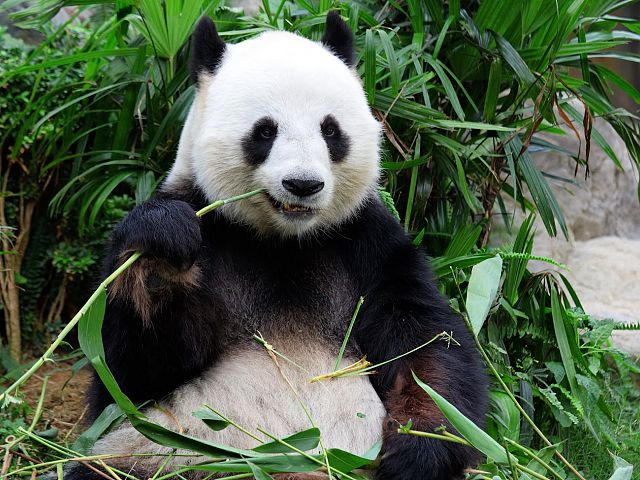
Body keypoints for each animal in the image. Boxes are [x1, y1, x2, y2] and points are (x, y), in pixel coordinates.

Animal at [68, 11, 488, 480]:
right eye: (265, 131)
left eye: (330, 130)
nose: (303, 184)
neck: (283, 241)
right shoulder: (208, 223)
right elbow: (127, 376)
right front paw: (161, 255)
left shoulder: (367, 242)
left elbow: (426, 344)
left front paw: (417, 450)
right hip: (162, 455)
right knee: (108, 467)